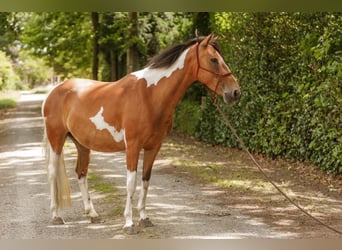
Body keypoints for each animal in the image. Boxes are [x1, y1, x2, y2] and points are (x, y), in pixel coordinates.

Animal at [42, 33, 240, 234]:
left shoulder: (153, 147)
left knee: (81, 173)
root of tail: (54, 91)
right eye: (214, 60)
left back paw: (93, 214)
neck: (149, 95)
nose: (235, 92)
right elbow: (131, 183)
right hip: (56, 139)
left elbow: (145, 180)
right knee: (52, 172)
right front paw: (129, 223)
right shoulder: (133, 146)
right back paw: (56, 216)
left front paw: (144, 218)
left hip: (82, 144)